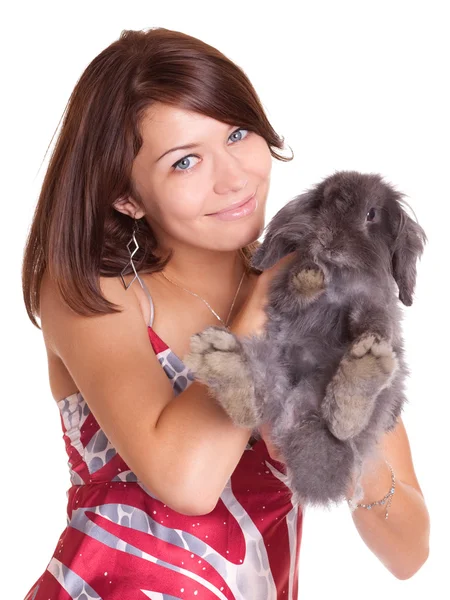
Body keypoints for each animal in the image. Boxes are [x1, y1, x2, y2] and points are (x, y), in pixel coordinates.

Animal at [183, 171, 426, 508]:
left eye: (371, 214)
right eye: (322, 205)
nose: (329, 243)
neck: (340, 275)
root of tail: (300, 409)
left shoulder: (373, 305)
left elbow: (376, 327)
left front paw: (368, 344)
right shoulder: (281, 295)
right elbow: (291, 292)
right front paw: (310, 276)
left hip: (386, 390)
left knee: (346, 427)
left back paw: (360, 378)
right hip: (269, 358)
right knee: (253, 406)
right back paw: (222, 361)